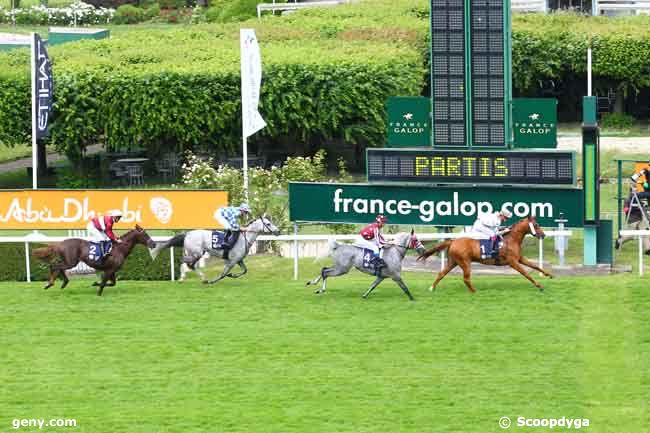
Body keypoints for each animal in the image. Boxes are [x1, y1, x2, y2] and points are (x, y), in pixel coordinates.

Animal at [151, 215, 280, 284]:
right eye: (268, 223)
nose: (278, 231)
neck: (244, 238)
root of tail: (187, 234)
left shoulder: (239, 260)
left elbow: (244, 270)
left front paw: (232, 275)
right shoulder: (232, 261)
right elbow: (223, 274)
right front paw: (214, 281)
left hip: (194, 253)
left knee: (188, 264)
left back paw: (189, 278)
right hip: (197, 253)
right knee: (188, 263)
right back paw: (198, 279)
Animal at [416, 216, 552, 294]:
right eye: (536, 225)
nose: (543, 235)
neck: (511, 239)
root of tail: (453, 241)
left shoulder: (520, 258)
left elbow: (535, 266)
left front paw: (549, 275)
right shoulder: (512, 262)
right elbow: (526, 274)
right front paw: (540, 286)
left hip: (453, 262)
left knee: (441, 273)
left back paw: (432, 288)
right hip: (465, 262)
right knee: (466, 278)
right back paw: (474, 291)